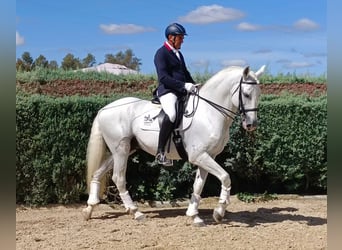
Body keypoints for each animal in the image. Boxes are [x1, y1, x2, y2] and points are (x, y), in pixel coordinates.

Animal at [81, 65, 266, 227]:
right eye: (246, 94)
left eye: (259, 94)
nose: (251, 125)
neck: (209, 113)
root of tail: (104, 109)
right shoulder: (199, 156)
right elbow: (225, 177)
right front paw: (219, 212)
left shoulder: (208, 156)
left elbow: (198, 185)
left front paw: (194, 215)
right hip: (121, 150)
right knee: (118, 178)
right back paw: (135, 212)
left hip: (124, 150)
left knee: (97, 173)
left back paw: (90, 208)